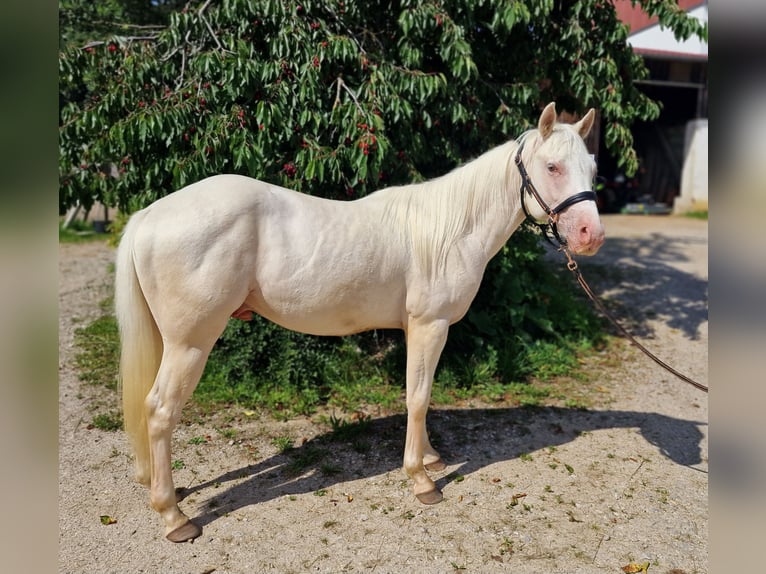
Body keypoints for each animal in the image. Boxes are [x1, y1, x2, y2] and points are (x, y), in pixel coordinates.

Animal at [115, 101, 608, 544]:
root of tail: (150, 214)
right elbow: (418, 398)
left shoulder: (419, 329)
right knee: (160, 410)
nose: (591, 235)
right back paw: (174, 517)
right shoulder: (430, 325)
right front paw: (421, 481)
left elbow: (420, 396)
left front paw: (430, 458)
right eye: (552, 167)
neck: (451, 230)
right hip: (190, 344)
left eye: (591, 168)